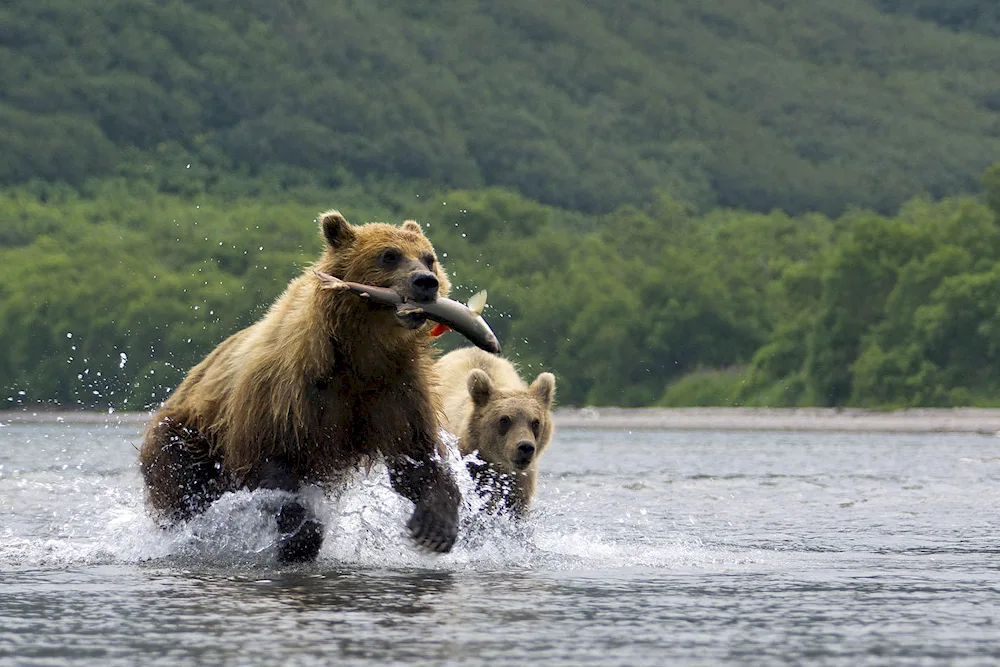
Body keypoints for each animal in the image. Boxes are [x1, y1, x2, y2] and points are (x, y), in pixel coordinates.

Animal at [140, 211, 460, 560]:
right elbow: (273, 467)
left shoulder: (394, 390)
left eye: (429, 258)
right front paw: (300, 537)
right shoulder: (285, 393)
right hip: (184, 440)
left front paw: (434, 526)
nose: (425, 282)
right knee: (184, 495)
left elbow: (415, 457)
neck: (358, 353)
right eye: (389, 255)